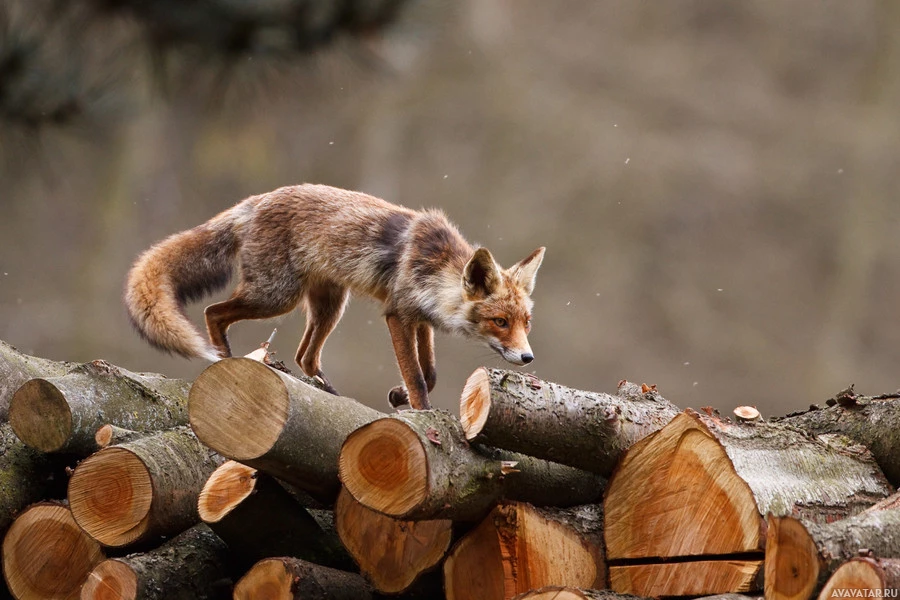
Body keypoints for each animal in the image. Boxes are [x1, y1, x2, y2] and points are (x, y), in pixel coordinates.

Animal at [123, 183, 544, 408]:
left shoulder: (419, 318)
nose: (528, 357)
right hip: (277, 297)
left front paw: (399, 396)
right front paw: (422, 413)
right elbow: (418, 377)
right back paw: (225, 359)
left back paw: (328, 392)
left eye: (526, 323)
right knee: (214, 312)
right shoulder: (397, 314)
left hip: (329, 306)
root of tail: (258, 199)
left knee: (304, 356)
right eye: (500, 322)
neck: (436, 268)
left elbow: (431, 373)